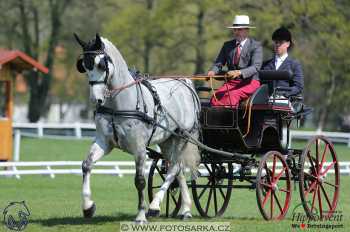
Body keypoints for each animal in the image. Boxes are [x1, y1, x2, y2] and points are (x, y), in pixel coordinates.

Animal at [74, 34, 200, 223]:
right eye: (84, 66)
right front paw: (88, 207)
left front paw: (141, 214)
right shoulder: (104, 142)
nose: (95, 99)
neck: (118, 105)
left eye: (101, 65)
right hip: (167, 141)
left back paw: (155, 206)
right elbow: (86, 165)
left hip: (182, 138)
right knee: (178, 169)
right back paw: (185, 210)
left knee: (174, 168)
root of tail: (185, 83)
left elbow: (139, 181)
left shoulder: (139, 148)